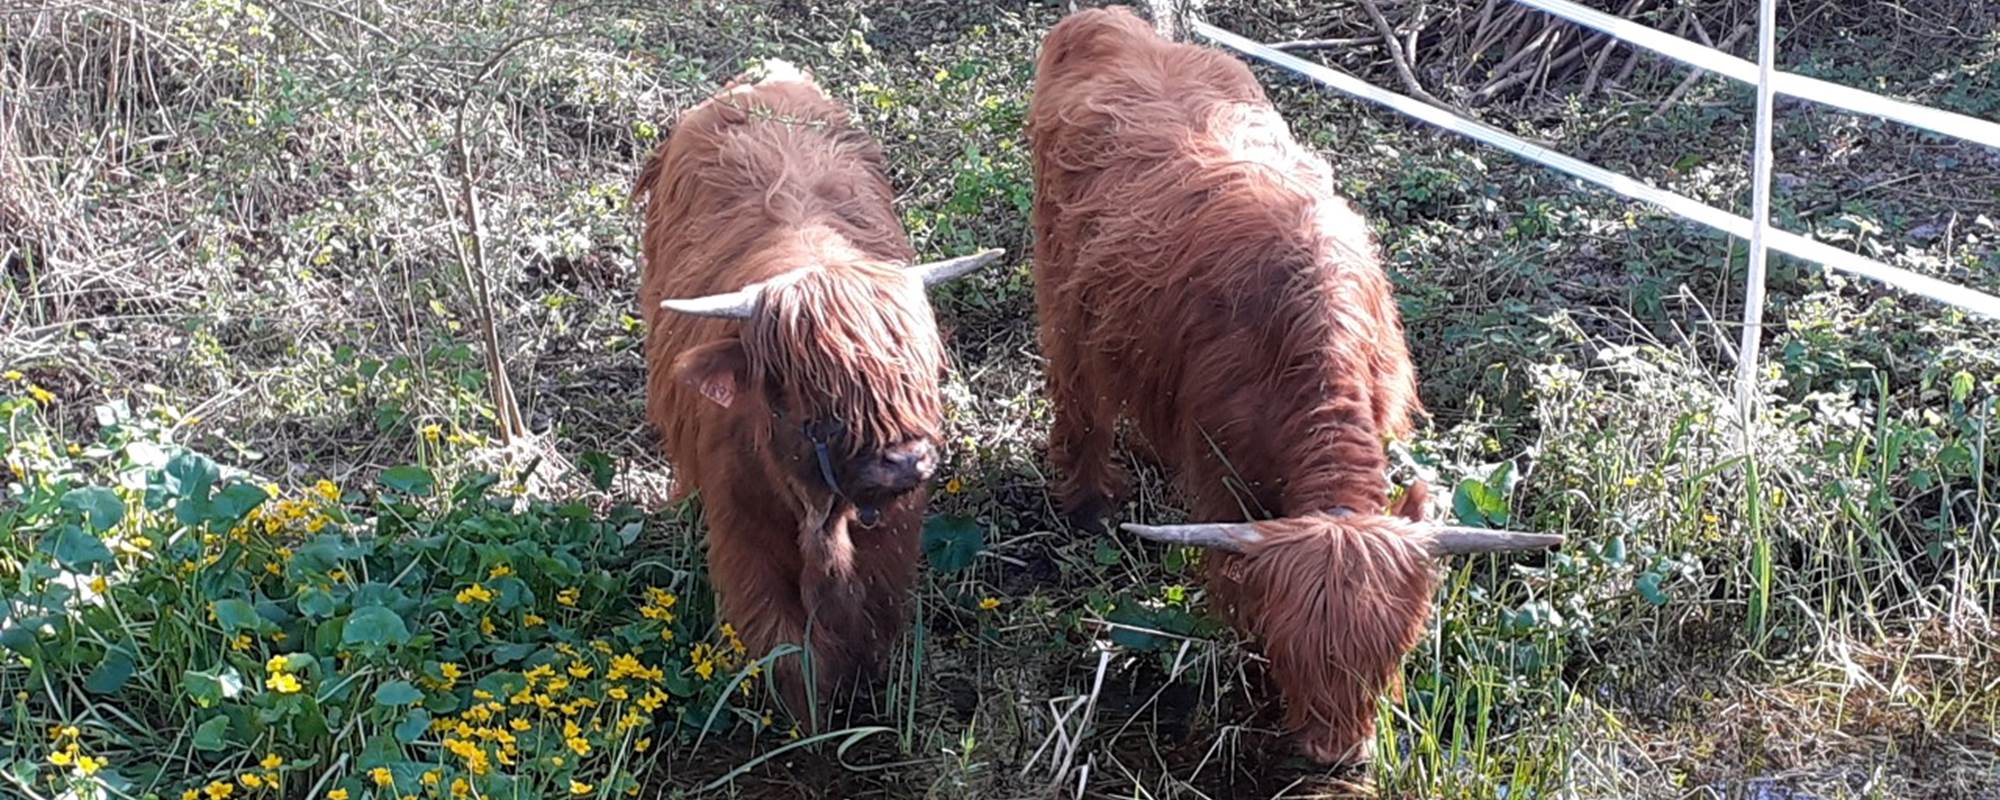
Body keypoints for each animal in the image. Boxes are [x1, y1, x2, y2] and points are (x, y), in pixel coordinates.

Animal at [632, 60, 1001, 722]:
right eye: (814, 397)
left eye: (916, 374)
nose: (906, 461)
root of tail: (764, 76)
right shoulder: (744, 537)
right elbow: (787, 651)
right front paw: (810, 726)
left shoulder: (892, 536)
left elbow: (871, 621)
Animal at [1025, 8, 1560, 765]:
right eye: (1289, 650)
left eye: (1396, 650)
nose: (1337, 754)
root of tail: (1114, 23)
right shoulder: (1221, 472)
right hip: (1064, 293)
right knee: (1079, 396)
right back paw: (1089, 503)